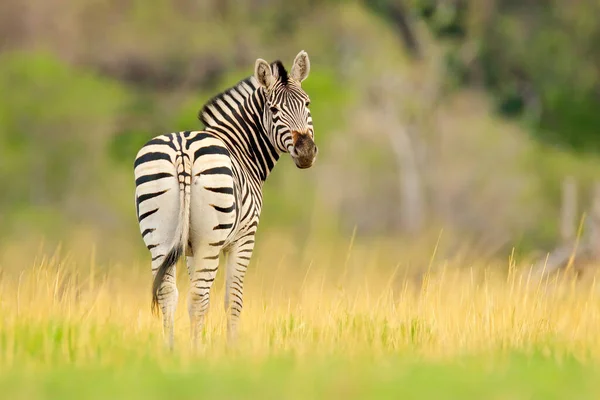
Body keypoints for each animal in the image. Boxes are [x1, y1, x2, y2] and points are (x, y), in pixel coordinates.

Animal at [133, 50, 316, 350]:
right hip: (210, 239)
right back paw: (196, 353)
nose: (306, 152)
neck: (241, 148)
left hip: (159, 236)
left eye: (307, 104)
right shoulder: (243, 239)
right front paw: (232, 350)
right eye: (274, 111)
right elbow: (234, 299)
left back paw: (170, 351)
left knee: (168, 292)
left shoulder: (189, 249)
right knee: (199, 296)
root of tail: (182, 150)